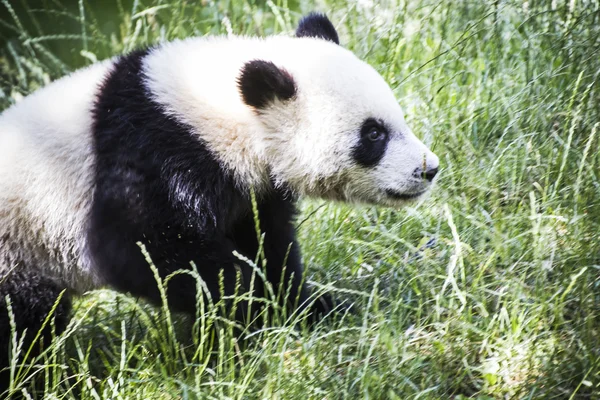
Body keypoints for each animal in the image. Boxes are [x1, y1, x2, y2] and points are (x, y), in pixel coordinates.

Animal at [1, 10, 440, 382]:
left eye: (396, 118)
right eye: (373, 134)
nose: (428, 169)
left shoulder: (251, 188)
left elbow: (268, 243)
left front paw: (308, 310)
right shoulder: (152, 150)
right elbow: (137, 246)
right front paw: (246, 317)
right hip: (18, 246)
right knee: (21, 323)